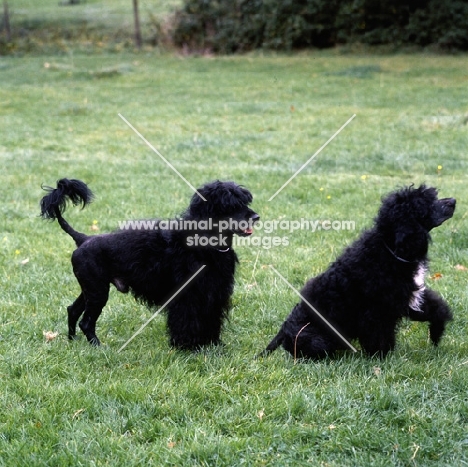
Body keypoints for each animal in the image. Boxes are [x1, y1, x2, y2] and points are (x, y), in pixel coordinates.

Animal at [40, 177, 260, 350]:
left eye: (244, 201)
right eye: (230, 205)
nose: (256, 217)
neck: (202, 243)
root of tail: (83, 238)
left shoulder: (214, 292)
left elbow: (211, 319)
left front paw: (213, 344)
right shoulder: (187, 295)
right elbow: (188, 319)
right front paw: (187, 346)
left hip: (90, 289)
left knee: (72, 310)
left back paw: (72, 341)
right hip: (97, 292)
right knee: (86, 322)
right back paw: (98, 347)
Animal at [266, 185, 456, 360]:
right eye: (426, 203)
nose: (453, 201)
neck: (389, 249)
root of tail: (283, 331)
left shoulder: (406, 297)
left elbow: (436, 310)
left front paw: (437, 334)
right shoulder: (378, 310)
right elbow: (379, 336)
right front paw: (382, 358)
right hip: (315, 339)